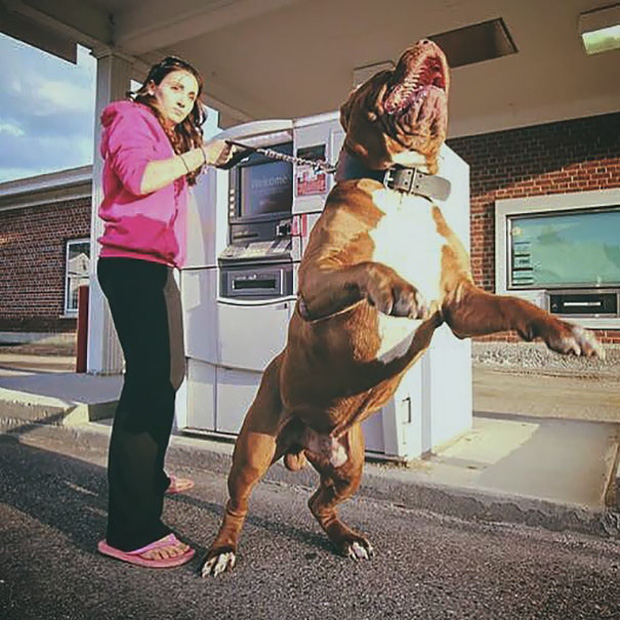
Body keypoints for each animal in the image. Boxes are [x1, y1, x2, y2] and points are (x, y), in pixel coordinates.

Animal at [201, 41, 604, 580]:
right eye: (380, 73)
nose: (427, 43)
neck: (402, 185)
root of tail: (308, 441)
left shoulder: (461, 304)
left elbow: (515, 303)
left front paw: (566, 333)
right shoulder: (313, 285)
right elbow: (370, 265)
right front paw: (397, 289)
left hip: (350, 464)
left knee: (318, 503)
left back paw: (346, 539)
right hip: (254, 446)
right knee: (237, 502)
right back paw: (221, 549)